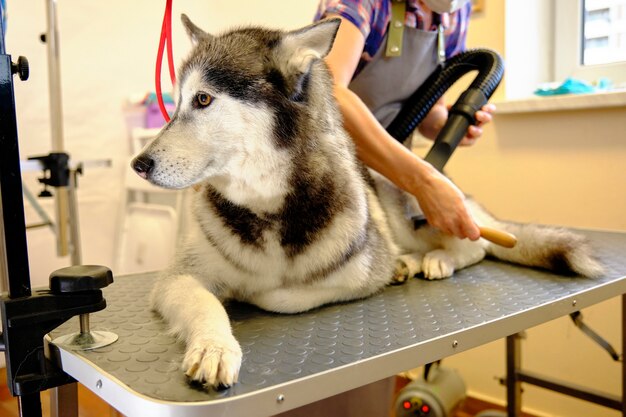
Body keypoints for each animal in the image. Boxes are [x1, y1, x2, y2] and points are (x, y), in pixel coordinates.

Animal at [130, 14, 600, 388]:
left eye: (203, 99)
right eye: (176, 103)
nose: (138, 164)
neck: (269, 208)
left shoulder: (356, 276)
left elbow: (281, 296)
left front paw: (254, 295)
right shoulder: (177, 278)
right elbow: (206, 304)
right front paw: (214, 347)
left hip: (420, 206)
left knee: (477, 245)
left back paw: (435, 260)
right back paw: (411, 263)